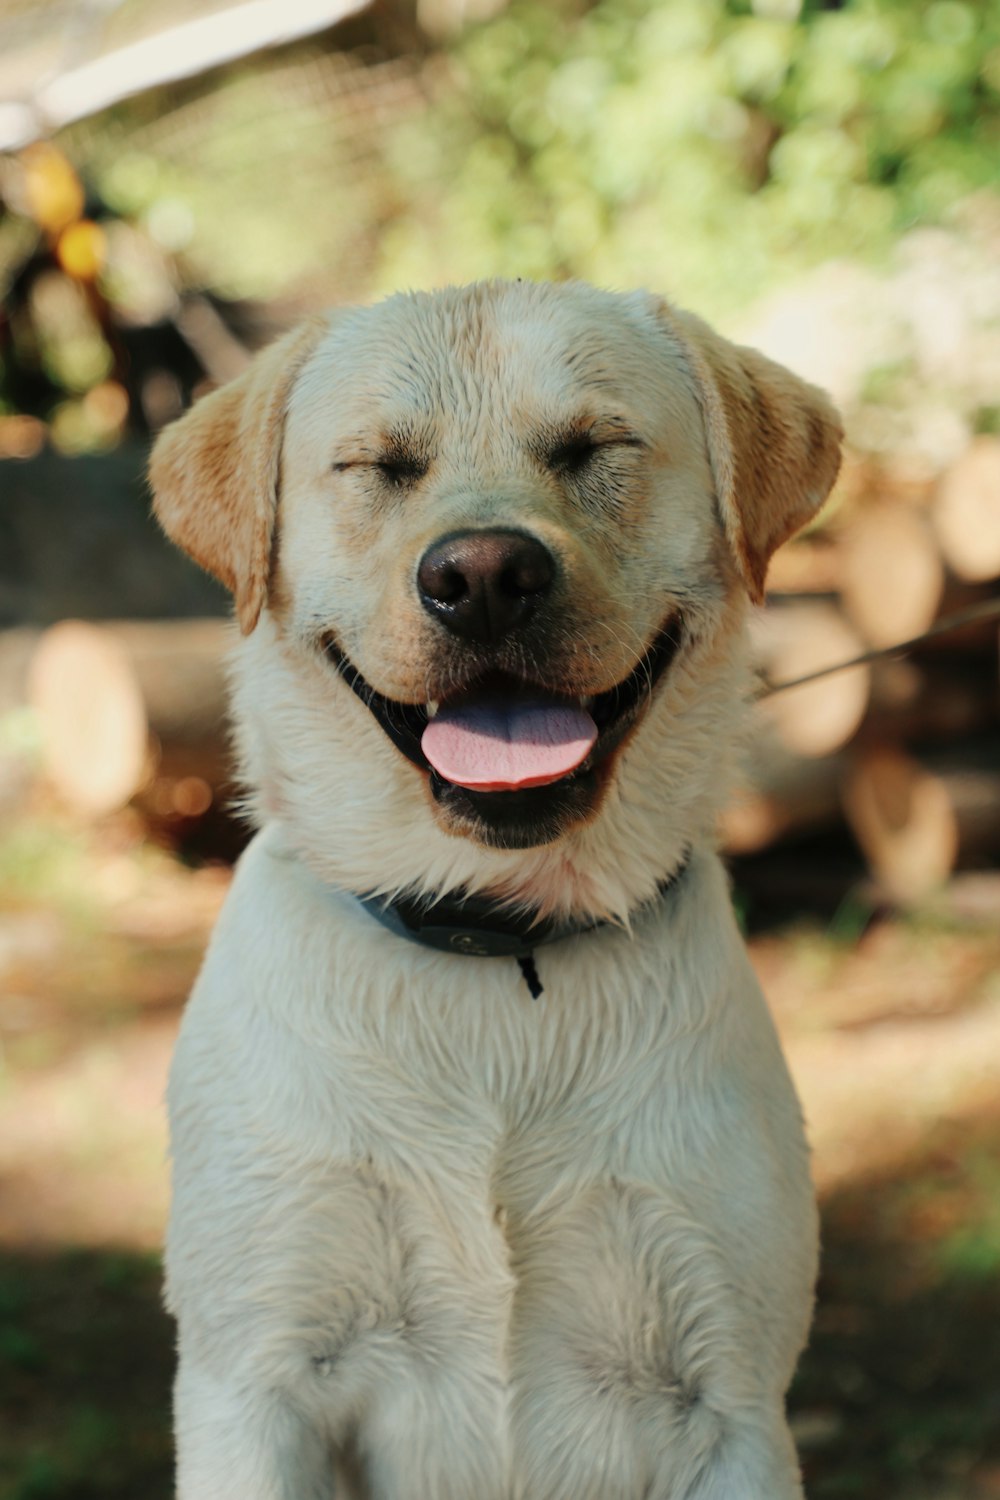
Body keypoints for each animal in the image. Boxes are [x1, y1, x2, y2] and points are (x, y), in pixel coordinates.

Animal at [152, 276, 845, 1494]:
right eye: (375, 464)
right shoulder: (253, 1382)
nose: (482, 578)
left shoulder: (731, 1401)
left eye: (596, 446)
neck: (497, 938)